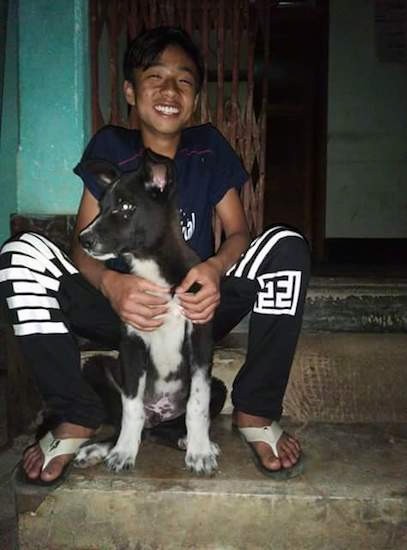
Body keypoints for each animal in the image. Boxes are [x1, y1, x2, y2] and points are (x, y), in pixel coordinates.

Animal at [73, 149, 220, 476]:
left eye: (126, 206)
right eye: (101, 207)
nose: (84, 239)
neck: (153, 271)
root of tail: (159, 415)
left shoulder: (201, 338)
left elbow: (198, 404)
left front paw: (200, 451)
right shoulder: (131, 343)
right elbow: (132, 408)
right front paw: (123, 452)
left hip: (219, 386)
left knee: (172, 425)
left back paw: (187, 439)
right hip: (95, 367)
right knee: (132, 421)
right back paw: (98, 448)